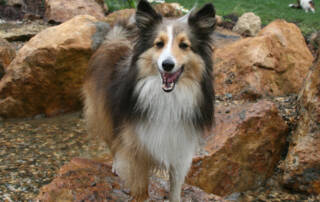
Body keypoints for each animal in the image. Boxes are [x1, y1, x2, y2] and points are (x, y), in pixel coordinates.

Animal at [84, 1, 216, 200]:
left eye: (184, 45)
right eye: (159, 44)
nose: (167, 65)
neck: (168, 98)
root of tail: (113, 39)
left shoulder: (180, 148)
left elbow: (175, 188)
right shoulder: (136, 149)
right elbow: (141, 190)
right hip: (104, 114)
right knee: (112, 142)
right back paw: (116, 164)